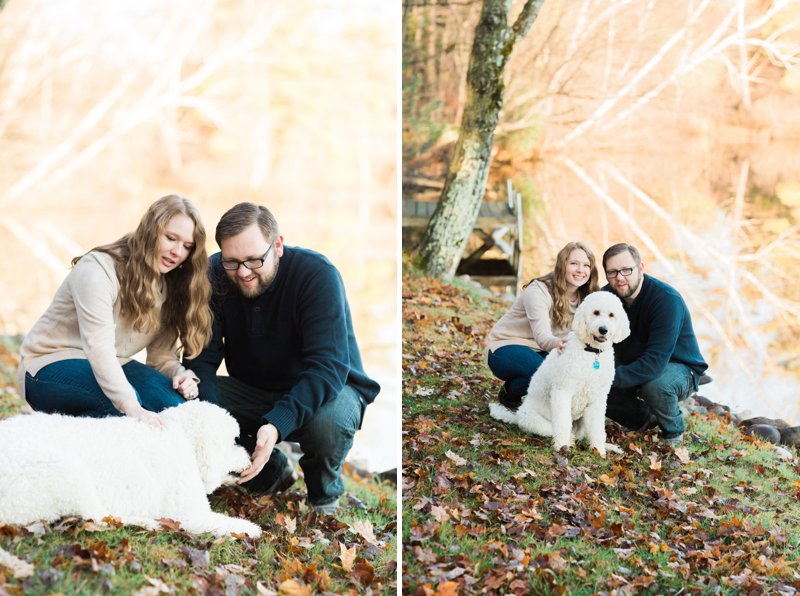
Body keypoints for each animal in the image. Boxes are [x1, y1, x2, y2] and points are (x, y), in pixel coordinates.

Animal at [0, 400, 260, 536]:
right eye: (234, 441)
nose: (250, 458)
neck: (182, 435)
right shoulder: (191, 515)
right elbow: (227, 523)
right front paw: (251, 528)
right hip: (67, 472)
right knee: (98, 517)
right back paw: (144, 521)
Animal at [490, 290, 628, 456]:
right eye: (596, 312)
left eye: (611, 315)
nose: (603, 329)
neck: (591, 352)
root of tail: (517, 416)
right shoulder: (563, 392)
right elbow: (562, 422)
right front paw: (562, 446)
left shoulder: (597, 399)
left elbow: (597, 428)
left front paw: (599, 450)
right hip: (535, 420)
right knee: (561, 431)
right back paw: (567, 441)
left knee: (582, 435)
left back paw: (609, 446)